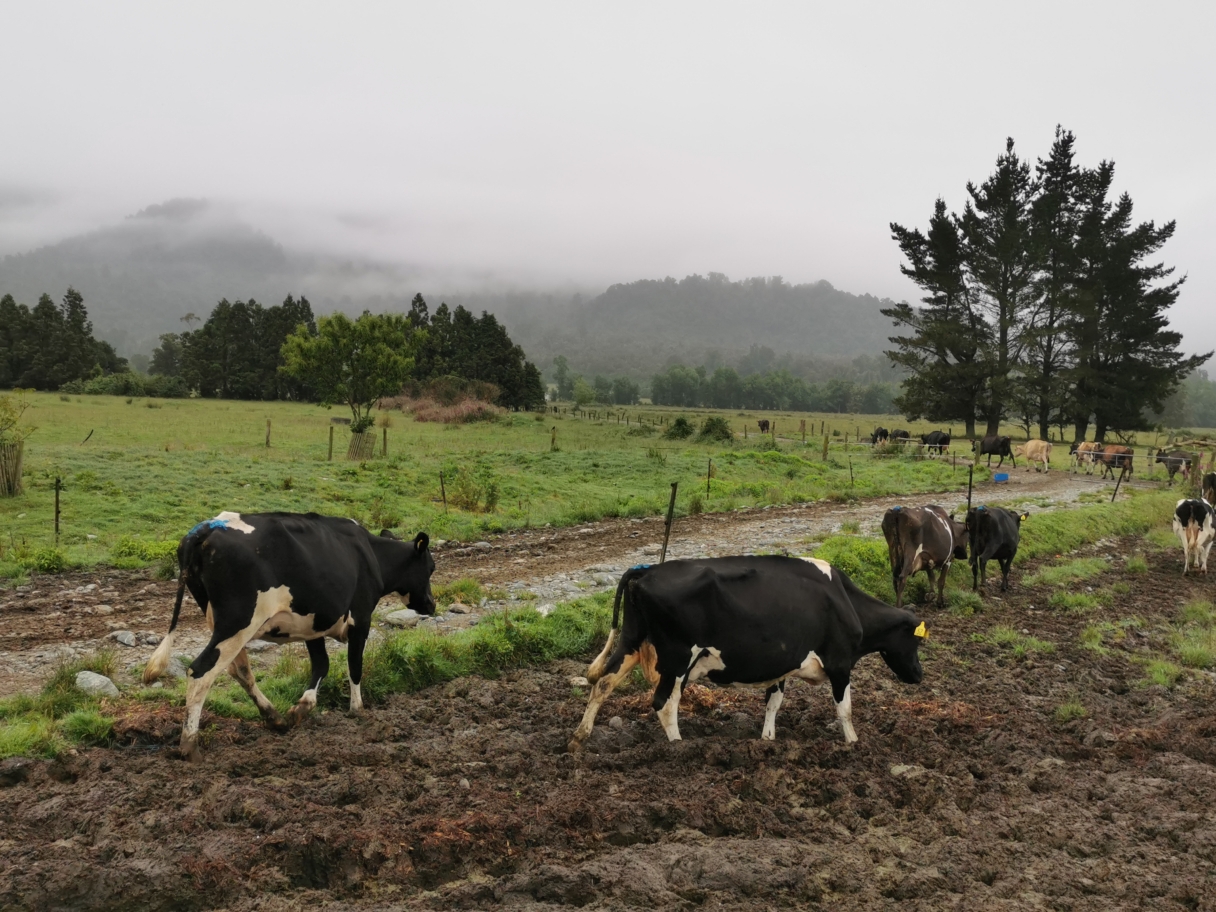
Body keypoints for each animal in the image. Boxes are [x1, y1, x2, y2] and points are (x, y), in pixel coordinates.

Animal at [144, 515, 437, 763]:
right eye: (431, 568)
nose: (432, 605)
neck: (371, 554)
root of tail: (206, 528)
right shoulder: (361, 618)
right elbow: (354, 666)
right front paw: (357, 709)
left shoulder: (313, 623)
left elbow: (321, 665)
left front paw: (302, 708)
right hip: (238, 622)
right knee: (201, 671)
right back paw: (189, 745)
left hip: (223, 623)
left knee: (239, 670)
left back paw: (273, 718)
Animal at [566, 554, 919, 753]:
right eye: (916, 641)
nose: (919, 674)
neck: (844, 600)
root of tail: (646, 570)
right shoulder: (840, 664)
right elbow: (845, 710)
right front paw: (854, 744)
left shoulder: (781, 665)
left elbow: (773, 703)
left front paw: (767, 740)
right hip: (678, 658)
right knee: (664, 703)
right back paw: (679, 748)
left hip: (631, 642)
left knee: (603, 683)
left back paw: (578, 738)